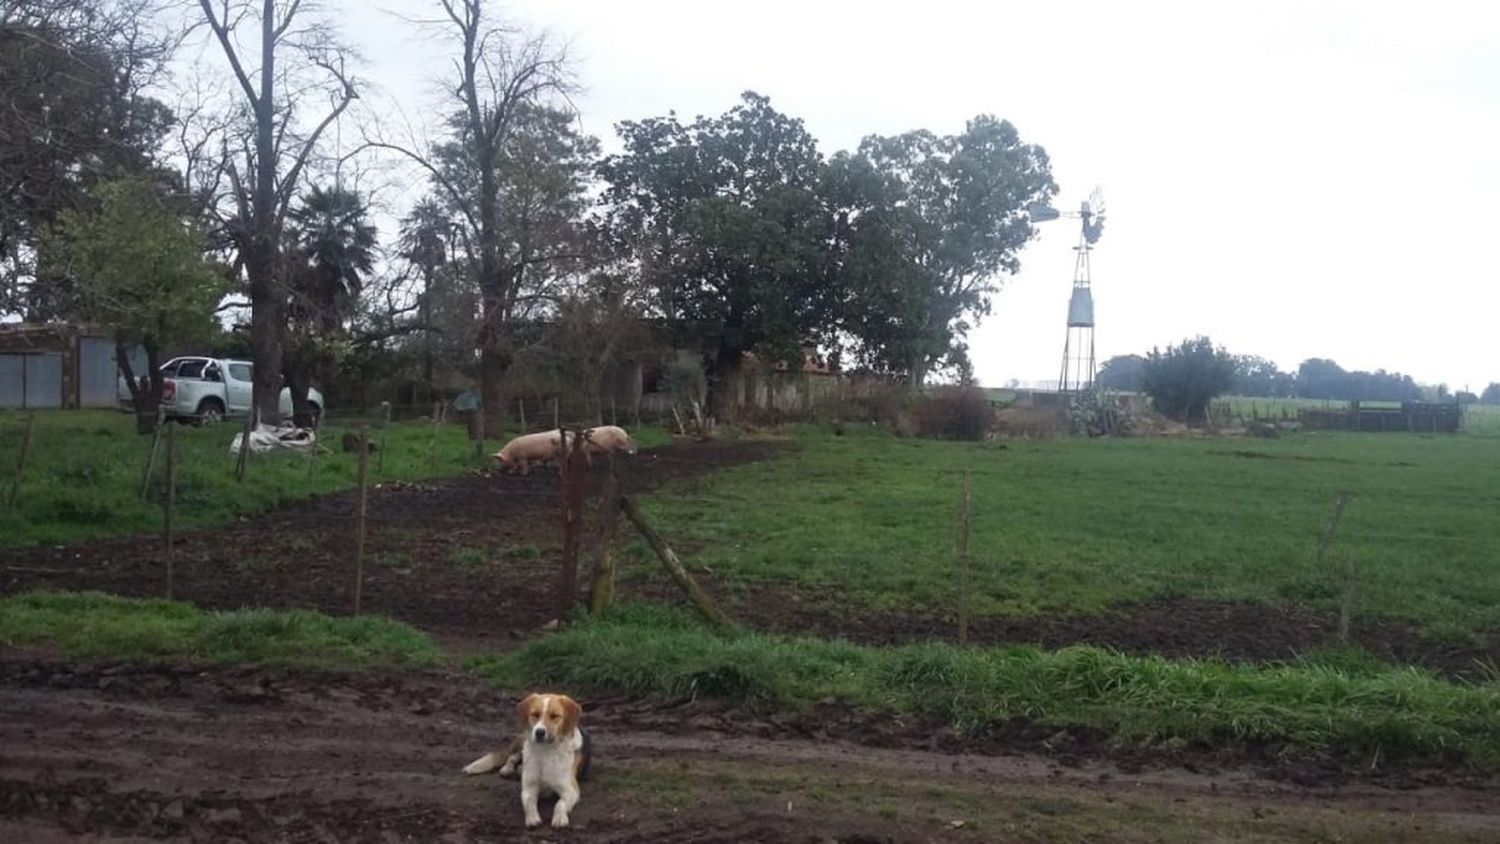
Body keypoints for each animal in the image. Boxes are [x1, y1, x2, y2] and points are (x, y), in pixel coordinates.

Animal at [462, 695, 591, 827]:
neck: (545, 752)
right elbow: (528, 802)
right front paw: (532, 818)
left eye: (555, 716)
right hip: (523, 744)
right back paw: (507, 769)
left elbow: (560, 804)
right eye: (535, 714)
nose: (539, 732)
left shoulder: (570, 790)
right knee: (511, 757)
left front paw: (559, 818)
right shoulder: (528, 787)